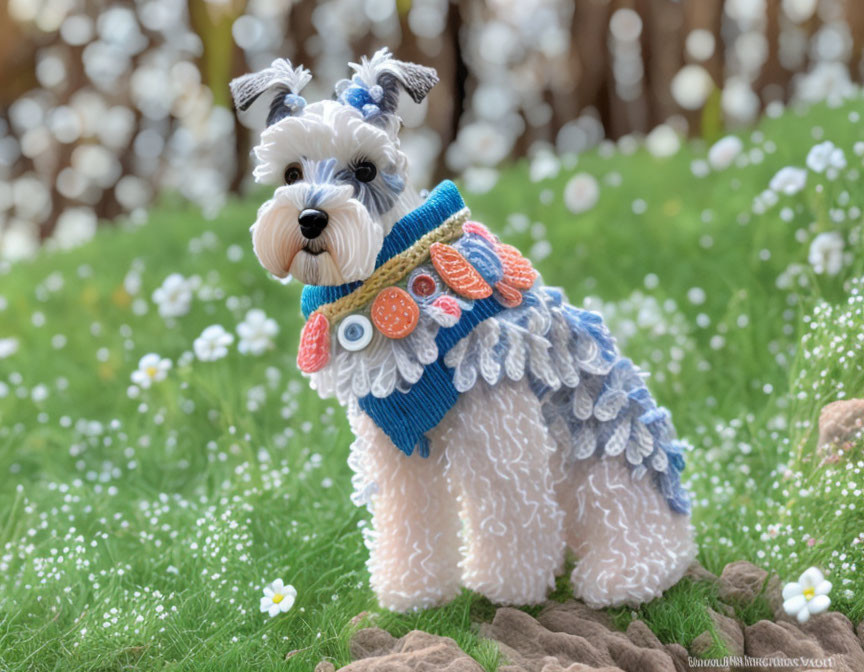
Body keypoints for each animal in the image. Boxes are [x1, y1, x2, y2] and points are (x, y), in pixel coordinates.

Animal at [230, 50, 696, 612]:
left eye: (365, 168)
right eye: (290, 172)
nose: (310, 218)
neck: (389, 276)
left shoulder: (498, 426)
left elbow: (510, 511)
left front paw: (508, 588)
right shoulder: (397, 447)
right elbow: (409, 517)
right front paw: (412, 591)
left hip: (606, 475)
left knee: (645, 537)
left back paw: (622, 576)